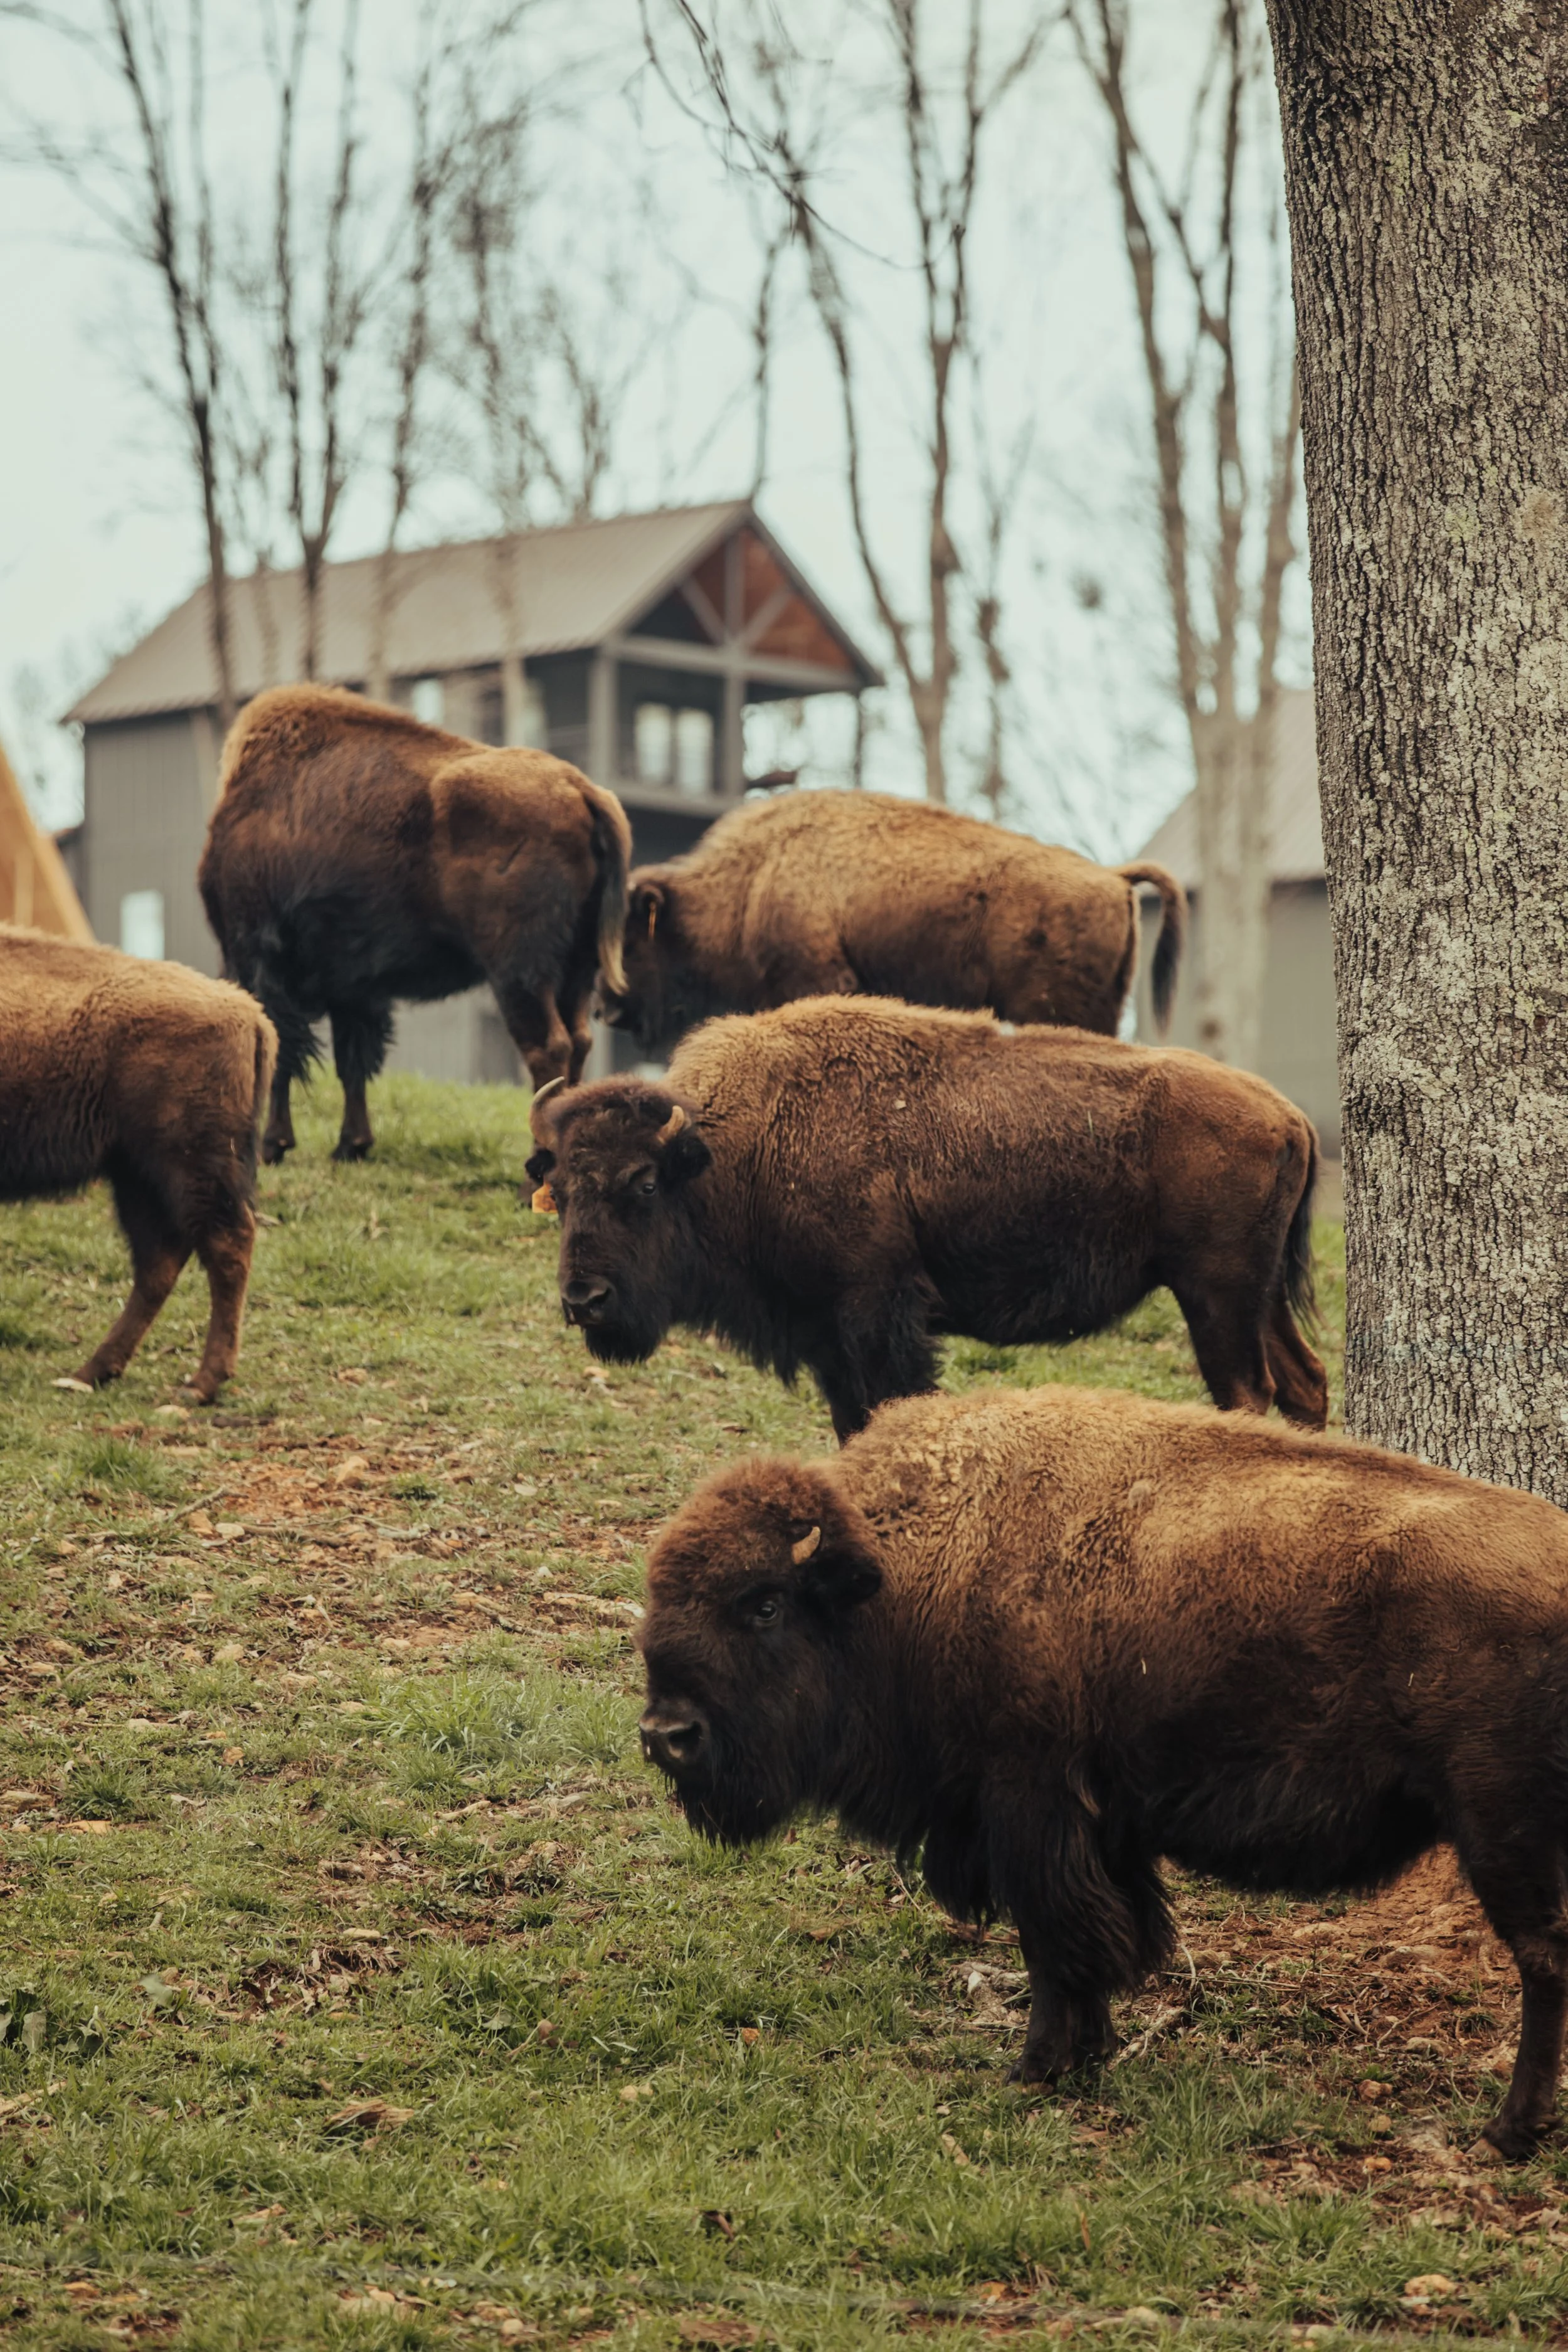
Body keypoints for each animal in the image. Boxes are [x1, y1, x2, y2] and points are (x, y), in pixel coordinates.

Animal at [0, 925, 276, 1401]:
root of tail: (247, 1011)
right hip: (136, 1176)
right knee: (160, 1261)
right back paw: (90, 1373)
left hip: (188, 1167)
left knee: (225, 1246)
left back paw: (200, 1384)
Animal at [199, 684, 632, 1163]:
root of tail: (583, 791)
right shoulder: (354, 987)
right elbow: (352, 1061)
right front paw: (351, 1145)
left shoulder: (260, 958)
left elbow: (286, 1053)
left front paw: (273, 1145)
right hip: (578, 971)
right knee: (578, 1042)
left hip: (519, 973)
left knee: (547, 1048)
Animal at [527, 996, 1326, 1438]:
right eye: (558, 1191)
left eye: (643, 1184)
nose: (584, 1298)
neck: (733, 1147)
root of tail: (1288, 1114)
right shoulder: (826, 1336)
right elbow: (852, 1427)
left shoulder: (879, 1314)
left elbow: (893, 1409)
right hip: (1256, 1298)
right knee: (1305, 1383)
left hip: (1214, 1295)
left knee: (1247, 1395)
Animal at [638, 1383, 1568, 2159]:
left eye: (764, 1603)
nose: (665, 1734)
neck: (907, 1569)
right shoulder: (1099, 1823)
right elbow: (1108, 1931)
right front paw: (1084, 2056)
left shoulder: (1029, 1801)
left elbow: (1059, 1939)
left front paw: (1038, 2067)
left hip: (1500, 1828)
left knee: (1543, 1959)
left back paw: (1508, 2132)